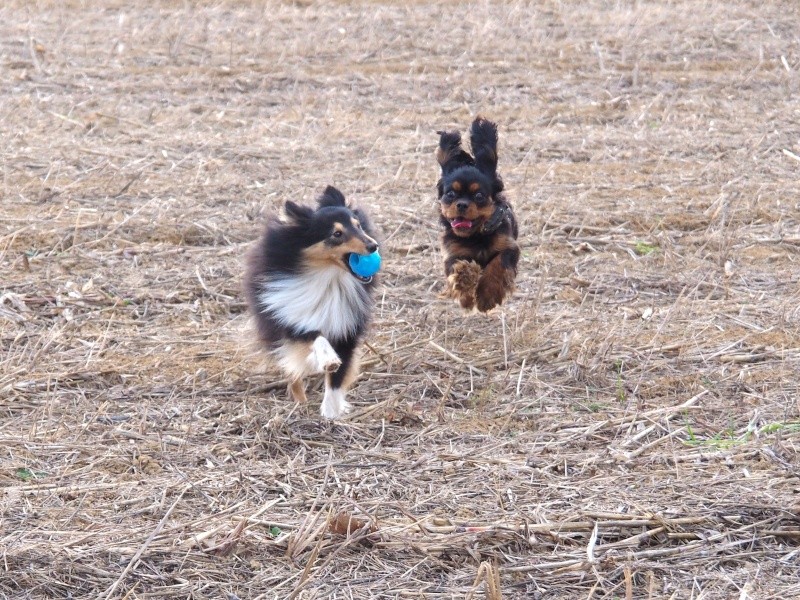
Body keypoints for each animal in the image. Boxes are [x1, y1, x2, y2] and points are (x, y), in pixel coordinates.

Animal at [242, 185, 380, 420]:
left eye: (358, 226)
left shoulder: (346, 330)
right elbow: (316, 338)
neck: (328, 277)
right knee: (292, 370)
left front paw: (331, 413)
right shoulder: (293, 321)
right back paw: (299, 400)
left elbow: (337, 380)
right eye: (336, 234)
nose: (373, 245)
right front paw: (328, 359)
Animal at [434, 118, 520, 314]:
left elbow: (498, 263)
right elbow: (457, 269)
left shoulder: (509, 247)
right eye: (450, 194)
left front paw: (487, 296)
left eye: (479, 196)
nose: (462, 204)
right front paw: (465, 287)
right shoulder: (454, 253)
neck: (476, 235)